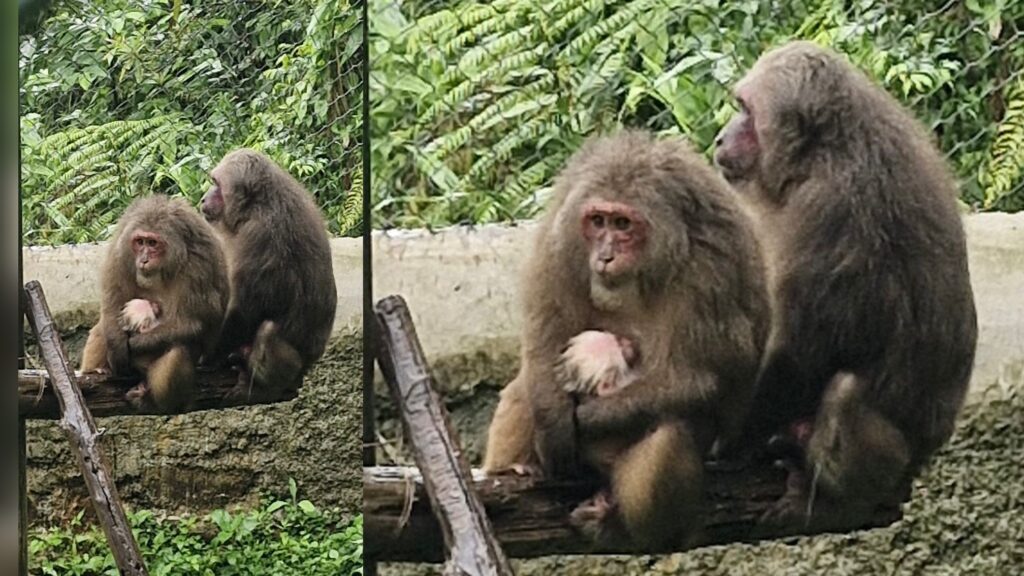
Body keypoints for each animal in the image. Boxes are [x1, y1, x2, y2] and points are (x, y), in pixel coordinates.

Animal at [80, 195, 230, 413]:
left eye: (152, 243)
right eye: (140, 242)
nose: (143, 259)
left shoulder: (198, 267)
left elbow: (191, 324)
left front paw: (133, 344)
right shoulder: (121, 252)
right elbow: (111, 307)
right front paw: (117, 347)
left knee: (178, 349)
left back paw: (154, 401)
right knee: (104, 326)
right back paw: (96, 370)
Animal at [200, 148, 337, 401]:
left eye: (216, 185)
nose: (204, 198)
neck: (257, 204)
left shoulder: (258, 235)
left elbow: (244, 310)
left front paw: (209, 355)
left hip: (295, 365)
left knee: (267, 331)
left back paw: (264, 387)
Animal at [482, 130, 771, 549]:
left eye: (622, 224)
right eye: (598, 221)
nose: (605, 255)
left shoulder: (709, 272)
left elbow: (695, 379)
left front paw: (584, 417)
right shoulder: (560, 243)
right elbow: (542, 347)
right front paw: (555, 424)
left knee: (670, 430)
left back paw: (626, 528)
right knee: (528, 384)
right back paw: (513, 469)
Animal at [713, 40, 978, 536]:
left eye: (746, 112)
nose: (721, 137)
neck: (822, 150)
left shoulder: (827, 208)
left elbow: (800, 352)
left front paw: (729, 439)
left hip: (898, 458)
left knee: (844, 393)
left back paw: (840, 502)